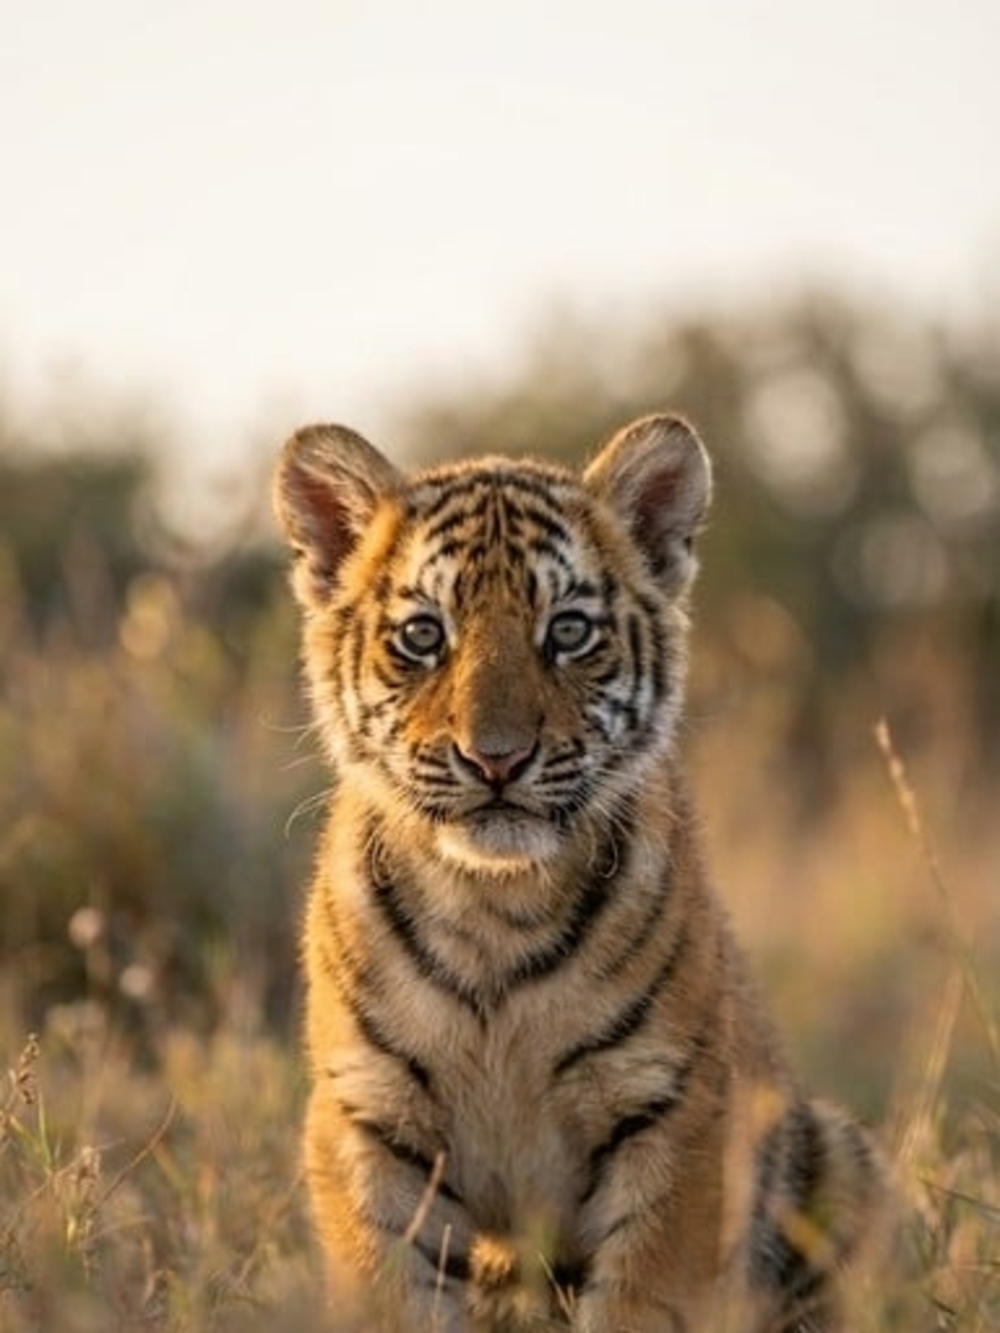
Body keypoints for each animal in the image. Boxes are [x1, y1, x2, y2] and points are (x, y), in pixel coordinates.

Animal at [273, 413, 889, 1332]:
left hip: (836, 1154)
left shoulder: (673, 1115)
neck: (491, 902)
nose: (495, 759)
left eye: (567, 631)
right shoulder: (368, 1120)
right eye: (424, 635)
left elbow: (641, 1301)